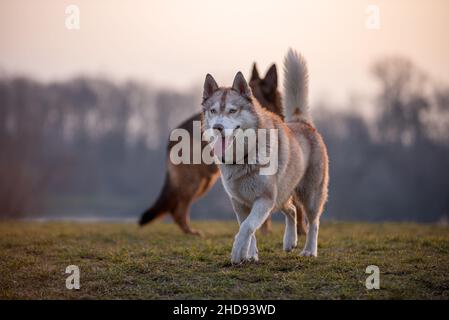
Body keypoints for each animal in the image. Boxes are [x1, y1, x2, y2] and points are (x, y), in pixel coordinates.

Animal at [140, 64, 308, 235]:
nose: (217, 127)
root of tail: (171, 138)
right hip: (195, 182)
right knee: (178, 209)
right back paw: (191, 232)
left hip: (203, 182)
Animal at [201, 48, 328, 262]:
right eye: (213, 111)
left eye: (232, 110)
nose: (218, 127)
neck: (243, 157)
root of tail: (301, 122)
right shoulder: (239, 202)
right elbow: (249, 229)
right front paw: (250, 255)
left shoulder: (264, 199)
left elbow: (247, 227)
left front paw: (238, 252)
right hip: (282, 193)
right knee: (292, 210)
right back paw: (289, 242)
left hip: (310, 194)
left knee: (314, 222)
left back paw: (310, 250)